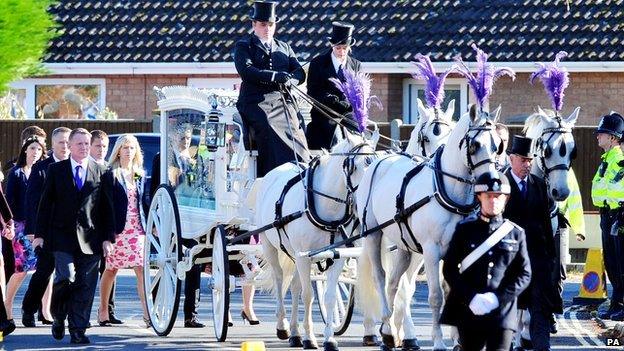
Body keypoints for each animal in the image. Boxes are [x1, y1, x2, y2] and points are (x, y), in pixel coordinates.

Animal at [251, 131, 378, 350]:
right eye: (355, 166)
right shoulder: (304, 257)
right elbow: (308, 295)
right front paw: (309, 338)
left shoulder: (335, 256)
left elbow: (329, 297)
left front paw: (329, 338)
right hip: (271, 246)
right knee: (279, 279)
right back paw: (283, 326)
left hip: (296, 255)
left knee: (294, 286)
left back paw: (294, 333)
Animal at [356, 105, 502, 351]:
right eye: (475, 145)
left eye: (497, 145)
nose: (492, 181)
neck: (447, 189)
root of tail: (379, 160)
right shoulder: (431, 251)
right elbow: (436, 296)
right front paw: (439, 342)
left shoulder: (458, 250)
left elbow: (453, 290)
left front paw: (458, 339)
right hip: (373, 235)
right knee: (380, 277)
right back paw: (386, 326)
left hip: (404, 247)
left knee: (394, 283)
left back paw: (389, 330)